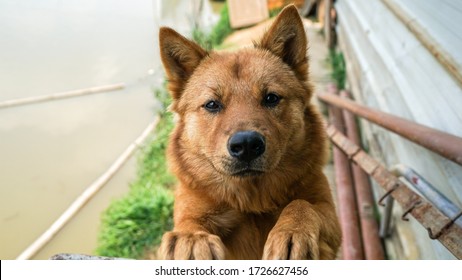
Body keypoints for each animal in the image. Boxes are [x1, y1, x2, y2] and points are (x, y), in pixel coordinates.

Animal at [157, 5, 342, 260]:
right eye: (212, 104)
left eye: (271, 98)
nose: (246, 145)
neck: (252, 202)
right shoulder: (193, 207)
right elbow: (189, 223)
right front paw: (192, 239)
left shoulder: (329, 215)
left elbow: (301, 205)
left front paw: (292, 231)